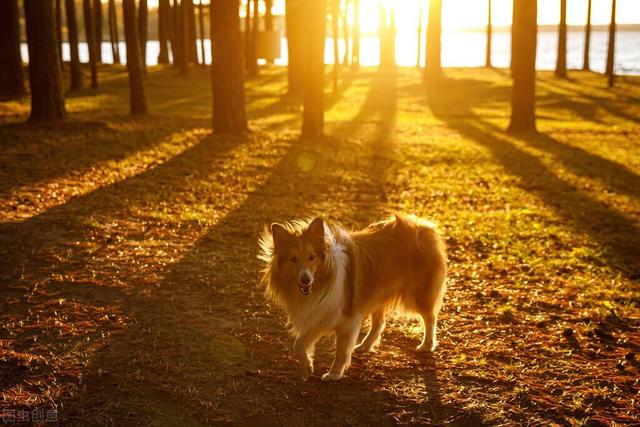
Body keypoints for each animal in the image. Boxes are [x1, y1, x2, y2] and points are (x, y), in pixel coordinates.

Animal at [258, 214, 448, 382]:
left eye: (312, 257)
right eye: (293, 259)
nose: (306, 280)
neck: (323, 279)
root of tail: (420, 226)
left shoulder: (345, 320)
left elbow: (341, 351)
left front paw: (334, 373)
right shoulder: (320, 314)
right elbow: (298, 345)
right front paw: (307, 368)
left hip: (417, 295)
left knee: (430, 317)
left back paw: (427, 345)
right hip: (375, 293)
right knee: (379, 322)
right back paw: (365, 346)